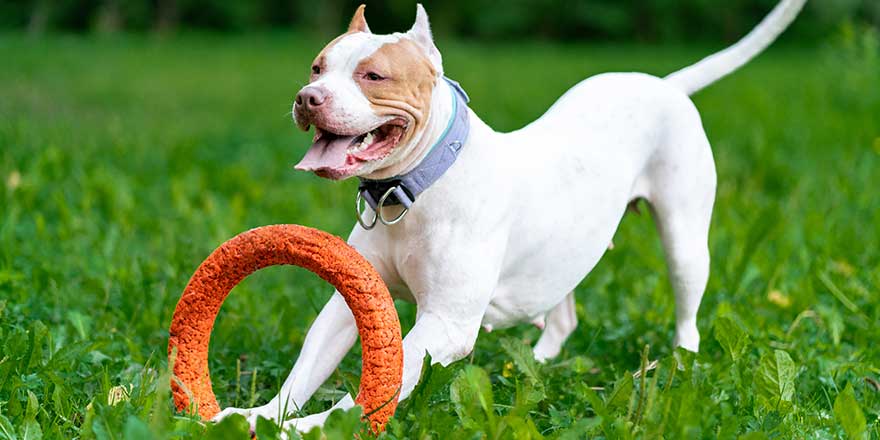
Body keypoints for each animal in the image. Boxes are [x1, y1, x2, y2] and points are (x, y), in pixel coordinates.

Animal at [217, 0, 808, 434]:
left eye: (374, 75)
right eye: (317, 67)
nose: (308, 97)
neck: (414, 189)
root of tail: (664, 84)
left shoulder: (447, 324)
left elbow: (379, 383)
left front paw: (312, 427)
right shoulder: (349, 302)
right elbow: (306, 368)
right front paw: (260, 416)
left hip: (684, 240)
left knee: (686, 308)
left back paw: (681, 364)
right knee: (562, 313)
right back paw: (540, 361)